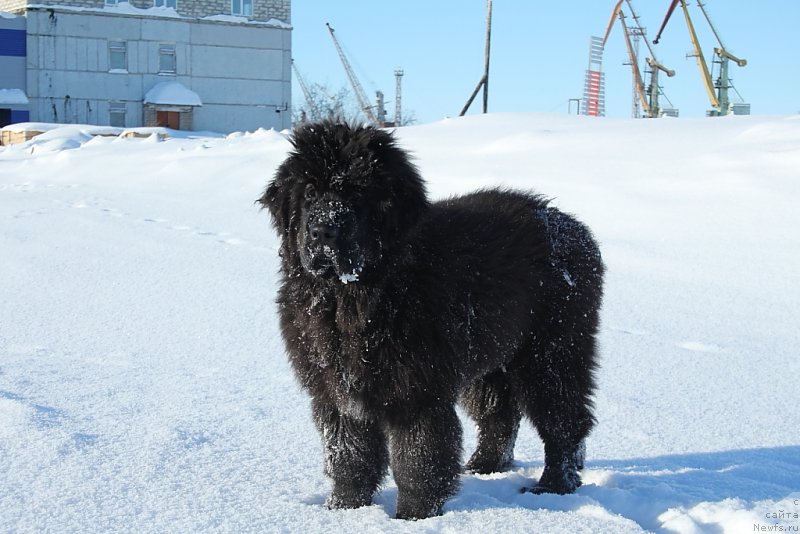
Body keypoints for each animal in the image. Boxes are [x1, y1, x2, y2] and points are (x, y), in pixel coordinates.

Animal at [260, 120, 604, 520]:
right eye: (311, 193)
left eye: (358, 193)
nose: (323, 231)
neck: (354, 297)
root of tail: (573, 227)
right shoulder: (336, 391)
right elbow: (348, 455)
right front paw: (344, 510)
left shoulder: (417, 391)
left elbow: (417, 460)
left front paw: (412, 516)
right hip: (490, 357)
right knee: (499, 413)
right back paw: (485, 466)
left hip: (552, 352)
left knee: (565, 419)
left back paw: (553, 485)